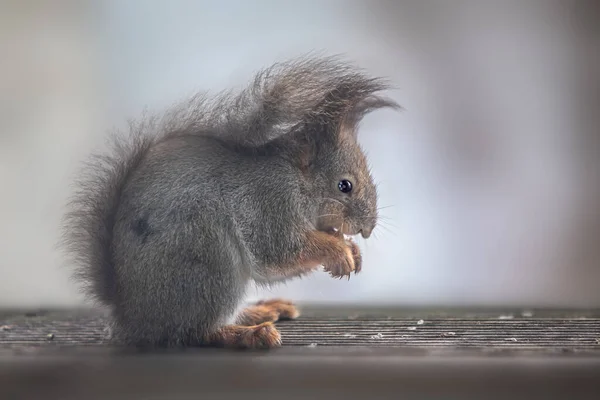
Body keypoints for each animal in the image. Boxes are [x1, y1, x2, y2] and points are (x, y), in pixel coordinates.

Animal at [62, 54, 398, 348]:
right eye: (345, 186)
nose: (367, 229)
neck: (297, 180)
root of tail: (130, 314)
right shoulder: (268, 202)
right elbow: (278, 252)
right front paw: (338, 250)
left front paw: (351, 248)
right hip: (207, 258)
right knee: (195, 332)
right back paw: (246, 334)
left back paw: (260, 311)